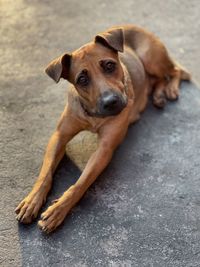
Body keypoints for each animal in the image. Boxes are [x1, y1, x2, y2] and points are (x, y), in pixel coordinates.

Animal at [15, 25, 191, 234]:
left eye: (109, 65)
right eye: (82, 79)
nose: (111, 102)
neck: (93, 114)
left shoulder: (105, 149)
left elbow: (80, 183)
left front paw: (58, 209)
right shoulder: (59, 136)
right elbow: (45, 173)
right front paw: (32, 201)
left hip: (151, 58)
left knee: (175, 71)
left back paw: (170, 89)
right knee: (158, 79)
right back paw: (158, 95)